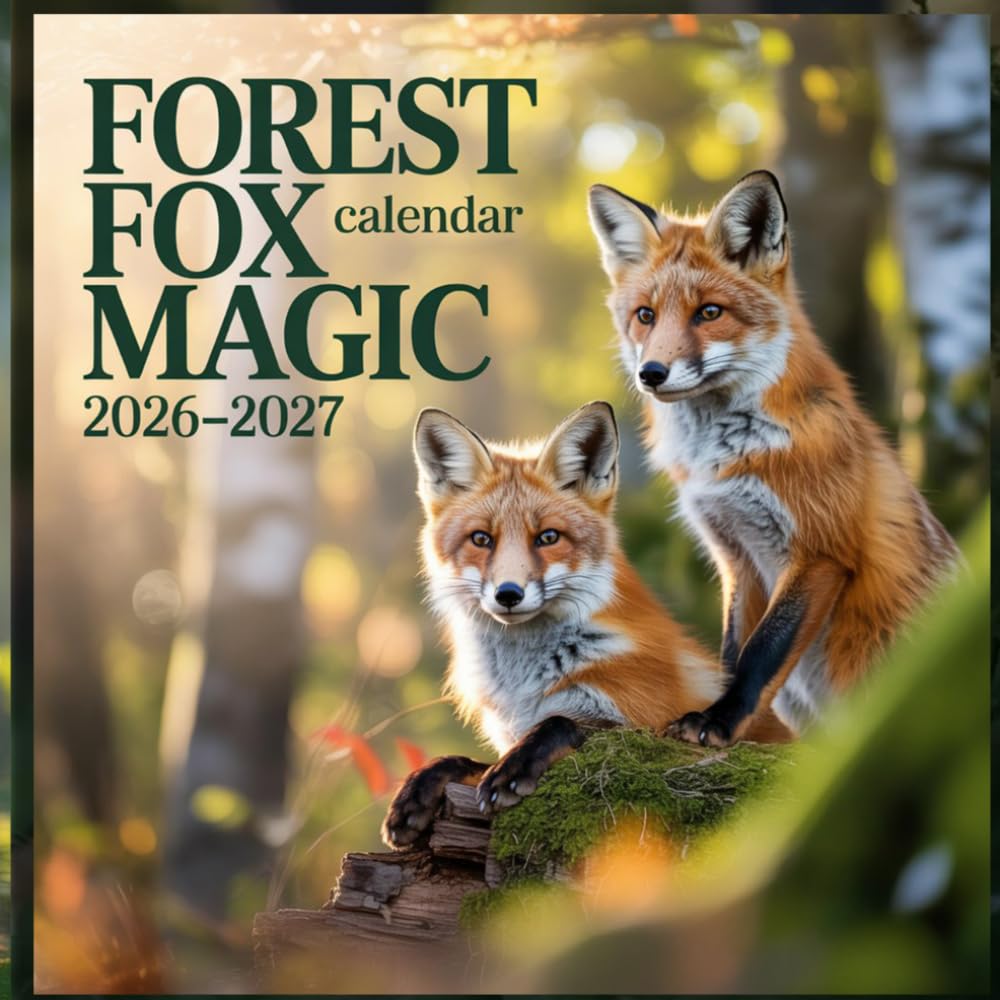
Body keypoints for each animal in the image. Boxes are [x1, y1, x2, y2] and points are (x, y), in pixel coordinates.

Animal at [382, 401, 790, 849]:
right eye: (481, 540)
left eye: (548, 537)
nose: (508, 594)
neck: (523, 684)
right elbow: (460, 760)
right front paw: (417, 791)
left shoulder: (655, 730)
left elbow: (562, 723)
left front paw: (515, 769)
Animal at [587, 170, 959, 749]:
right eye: (644, 316)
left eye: (709, 313)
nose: (651, 373)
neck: (726, 458)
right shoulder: (734, 553)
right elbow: (732, 652)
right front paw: (730, 722)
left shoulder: (820, 548)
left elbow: (761, 653)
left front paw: (718, 720)